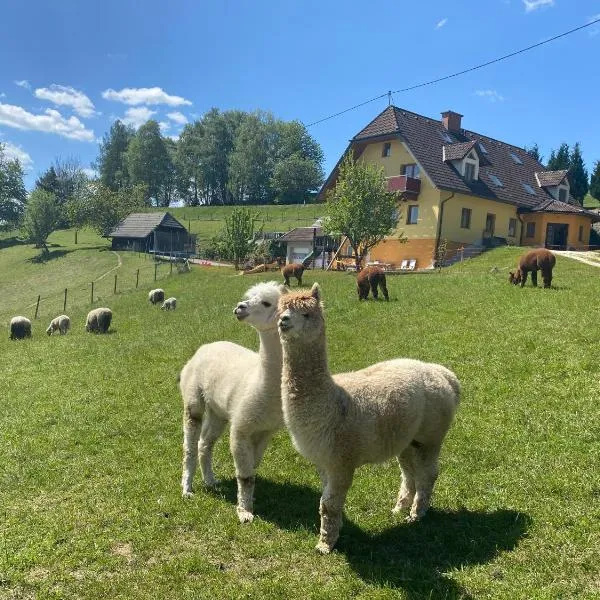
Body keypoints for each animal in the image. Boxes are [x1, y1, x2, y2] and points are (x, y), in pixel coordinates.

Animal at [179, 282, 288, 520]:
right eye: (249, 297)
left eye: (267, 302)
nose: (240, 307)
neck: (261, 383)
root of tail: (204, 347)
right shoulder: (240, 428)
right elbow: (245, 474)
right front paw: (244, 513)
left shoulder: (266, 430)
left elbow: (252, 467)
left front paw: (248, 501)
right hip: (193, 398)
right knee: (190, 445)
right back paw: (187, 489)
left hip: (218, 411)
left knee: (204, 443)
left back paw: (210, 481)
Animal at [276, 284, 460, 556]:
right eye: (280, 310)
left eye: (307, 314)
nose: (284, 321)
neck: (332, 402)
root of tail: (444, 374)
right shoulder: (323, 461)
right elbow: (325, 501)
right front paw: (333, 533)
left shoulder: (341, 460)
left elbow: (329, 504)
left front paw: (325, 544)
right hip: (406, 437)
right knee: (409, 472)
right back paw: (399, 508)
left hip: (431, 435)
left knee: (428, 473)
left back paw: (417, 514)